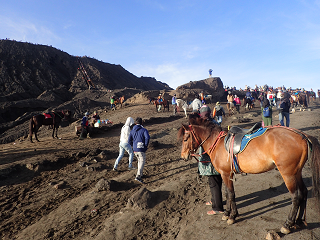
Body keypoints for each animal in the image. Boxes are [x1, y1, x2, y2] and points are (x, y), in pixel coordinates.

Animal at [179, 114, 318, 234]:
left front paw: (231, 216)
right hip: (296, 172)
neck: (217, 143)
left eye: (185, 139)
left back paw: (288, 224)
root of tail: (303, 135)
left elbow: (230, 194)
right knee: (304, 192)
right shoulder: (228, 174)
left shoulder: (225, 174)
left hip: (288, 174)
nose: (183, 156)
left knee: (296, 196)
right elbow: (228, 194)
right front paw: (228, 213)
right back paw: (299, 221)